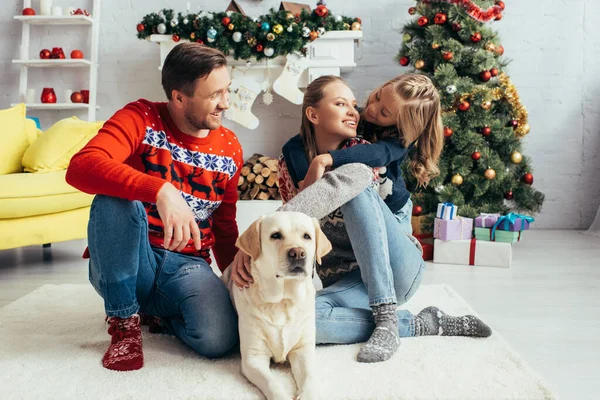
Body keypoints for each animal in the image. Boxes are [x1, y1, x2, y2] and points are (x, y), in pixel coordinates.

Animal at [221, 211, 332, 398]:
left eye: (307, 236)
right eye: (275, 235)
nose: (298, 253)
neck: (283, 301)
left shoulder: (303, 349)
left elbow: (309, 376)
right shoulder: (253, 357)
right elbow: (271, 382)